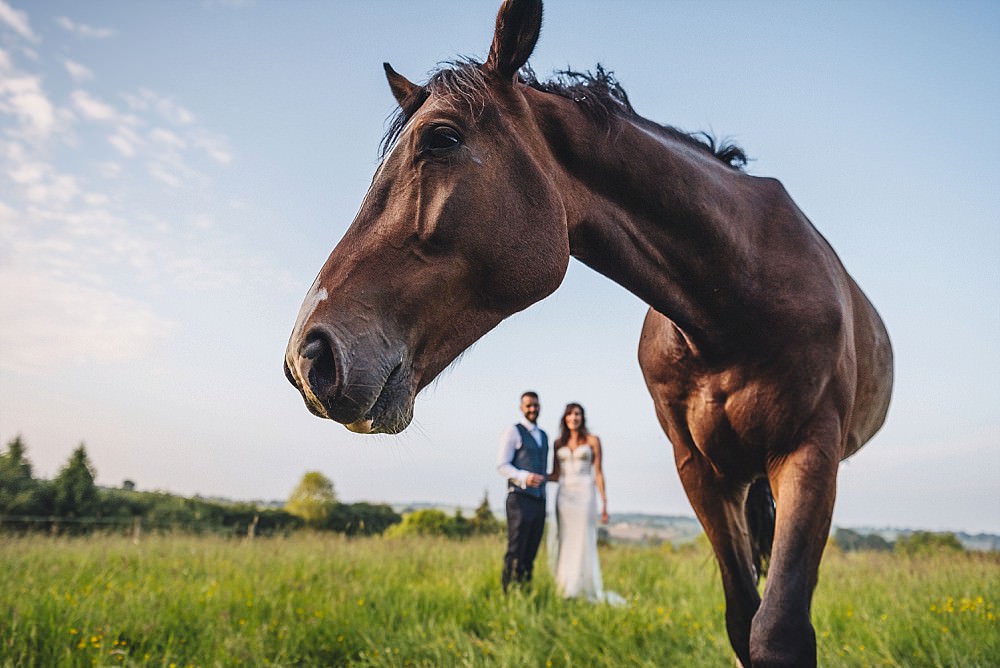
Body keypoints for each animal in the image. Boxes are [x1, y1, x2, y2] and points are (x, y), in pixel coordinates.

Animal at [283, 1, 893, 665]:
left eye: (441, 137)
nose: (307, 357)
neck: (735, 300)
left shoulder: (811, 454)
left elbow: (777, 630)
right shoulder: (701, 473)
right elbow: (742, 619)